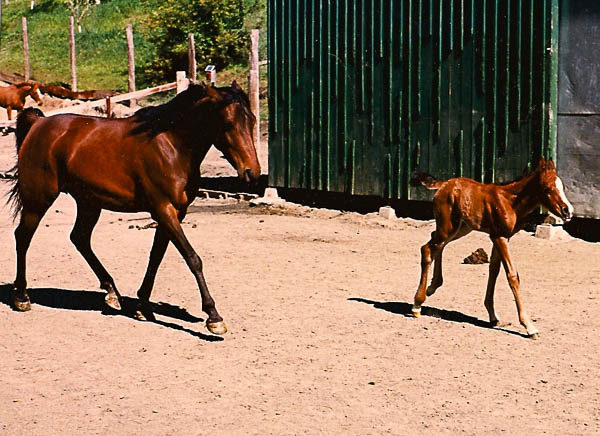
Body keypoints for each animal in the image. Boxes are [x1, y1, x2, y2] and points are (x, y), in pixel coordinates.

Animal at [6, 81, 260, 334]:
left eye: (253, 121)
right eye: (228, 123)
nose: (252, 173)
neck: (171, 144)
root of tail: (39, 123)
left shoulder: (175, 213)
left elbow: (156, 257)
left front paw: (142, 306)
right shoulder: (163, 209)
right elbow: (192, 258)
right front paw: (213, 316)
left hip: (89, 203)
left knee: (79, 238)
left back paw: (111, 293)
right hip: (39, 199)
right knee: (23, 237)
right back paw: (22, 297)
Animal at [410, 158, 576, 338]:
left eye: (563, 187)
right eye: (547, 188)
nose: (568, 211)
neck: (510, 201)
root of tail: (443, 184)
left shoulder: (502, 237)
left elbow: (494, 271)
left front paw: (493, 315)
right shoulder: (499, 237)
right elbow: (512, 275)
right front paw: (529, 326)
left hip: (460, 228)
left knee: (437, 243)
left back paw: (432, 287)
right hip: (448, 227)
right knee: (427, 248)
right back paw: (417, 304)